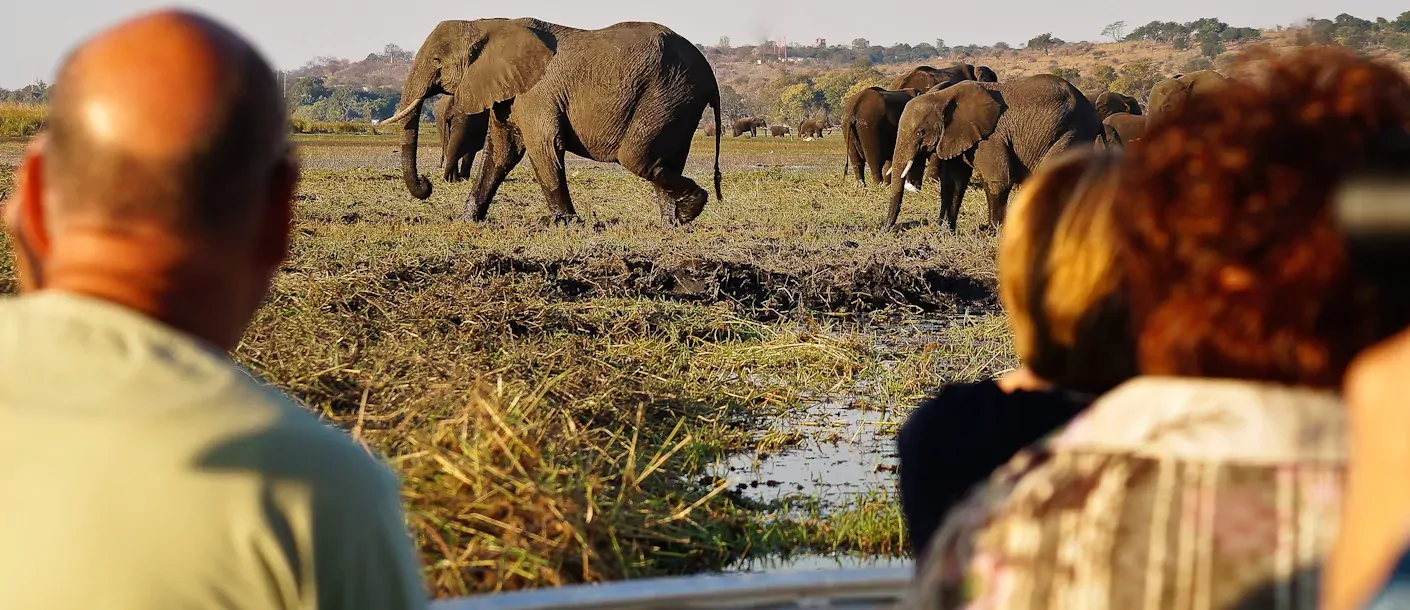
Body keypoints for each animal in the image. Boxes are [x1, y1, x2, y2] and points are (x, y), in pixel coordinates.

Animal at [380, 17, 721, 223]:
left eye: (437, 61)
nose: (426, 185)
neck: (489, 24)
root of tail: (711, 77)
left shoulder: (537, 92)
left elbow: (543, 145)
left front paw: (566, 224)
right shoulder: (509, 94)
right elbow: (501, 152)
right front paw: (466, 221)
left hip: (669, 93)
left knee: (638, 158)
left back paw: (691, 209)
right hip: (678, 101)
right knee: (665, 159)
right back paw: (673, 224)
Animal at [891, 73, 1099, 231]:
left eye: (920, 132)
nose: (888, 228)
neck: (943, 96)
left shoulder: (991, 137)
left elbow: (998, 180)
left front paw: (992, 231)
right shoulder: (957, 136)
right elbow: (954, 181)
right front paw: (945, 231)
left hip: (1073, 132)